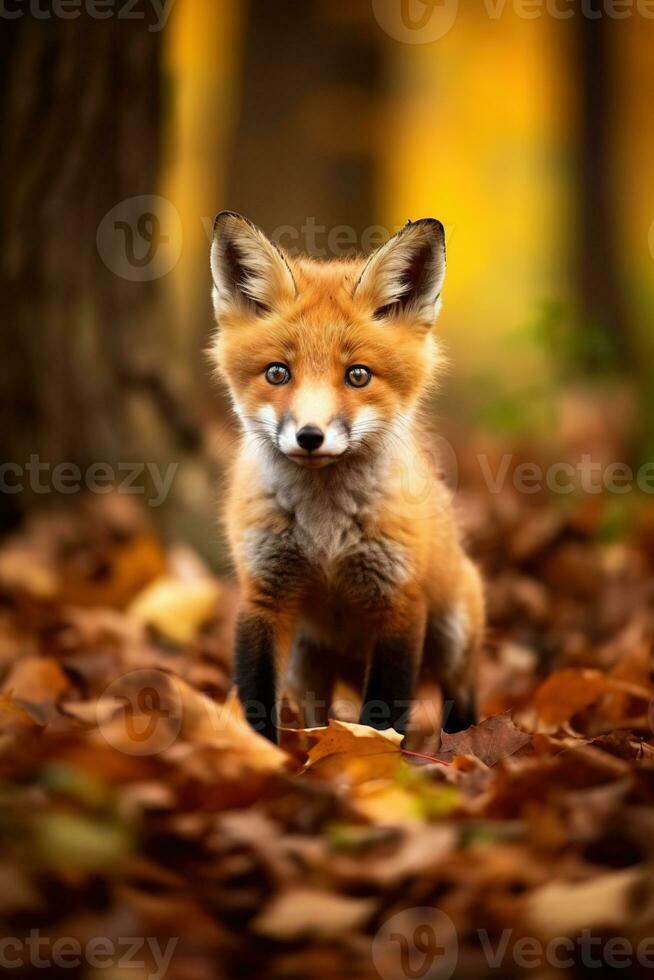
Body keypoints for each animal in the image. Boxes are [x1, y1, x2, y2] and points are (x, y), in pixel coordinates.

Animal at [211, 209, 486, 744]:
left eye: (357, 375)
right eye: (277, 373)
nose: (310, 436)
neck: (325, 534)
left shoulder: (398, 601)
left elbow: (383, 714)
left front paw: (376, 759)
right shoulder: (264, 594)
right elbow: (257, 702)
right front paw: (264, 758)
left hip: (451, 633)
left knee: (461, 695)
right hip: (305, 660)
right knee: (316, 713)